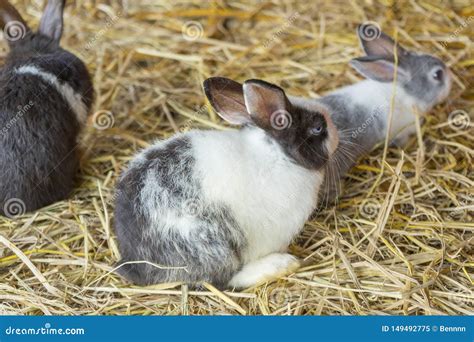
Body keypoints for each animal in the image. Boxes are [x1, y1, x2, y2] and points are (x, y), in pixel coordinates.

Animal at [113, 77, 338, 288]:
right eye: (318, 128)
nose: (336, 133)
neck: (279, 154)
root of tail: (134, 260)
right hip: (212, 247)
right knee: (224, 279)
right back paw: (282, 264)